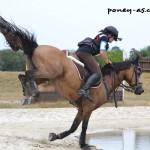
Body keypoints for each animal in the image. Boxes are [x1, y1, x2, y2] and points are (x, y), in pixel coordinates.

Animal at [0, 16, 144, 149]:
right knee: (27, 75)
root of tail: (36, 47)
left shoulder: (81, 109)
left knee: (23, 76)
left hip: (44, 75)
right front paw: (84, 144)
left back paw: (29, 94)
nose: (141, 90)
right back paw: (32, 93)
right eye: (139, 71)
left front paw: (56, 136)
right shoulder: (88, 108)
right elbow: (84, 127)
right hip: (49, 72)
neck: (106, 82)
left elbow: (73, 127)